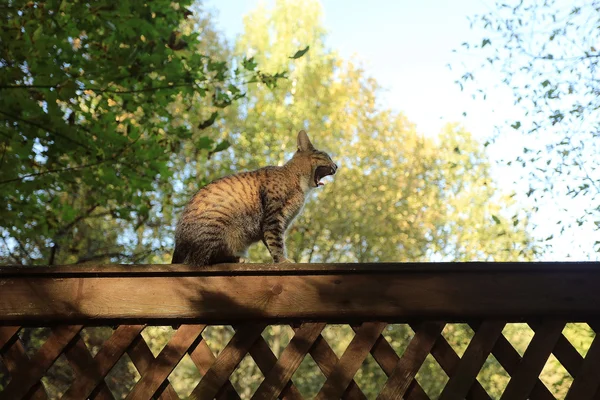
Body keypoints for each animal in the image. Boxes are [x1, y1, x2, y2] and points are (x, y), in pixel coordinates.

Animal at [172, 130, 338, 266]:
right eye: (327, 156)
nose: (336, 165)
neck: (296, 179)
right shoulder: (273, 218)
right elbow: (277, 243)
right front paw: (283, 261)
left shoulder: (274, 224)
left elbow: (271, 243)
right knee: (204, 258)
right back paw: (237, 258)